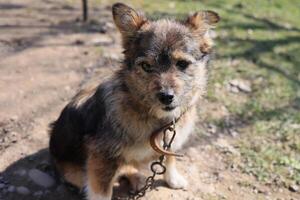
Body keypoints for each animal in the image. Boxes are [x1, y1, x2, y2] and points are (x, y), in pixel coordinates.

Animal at [48, 1, 218, 200]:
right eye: (146, 66)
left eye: (182, 64)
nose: (166, 97)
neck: (151, 115)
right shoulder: (101, 158)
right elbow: (102, 192)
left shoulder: (170, 141)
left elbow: (169, 157)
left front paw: (173, 179)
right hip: (76, 173)